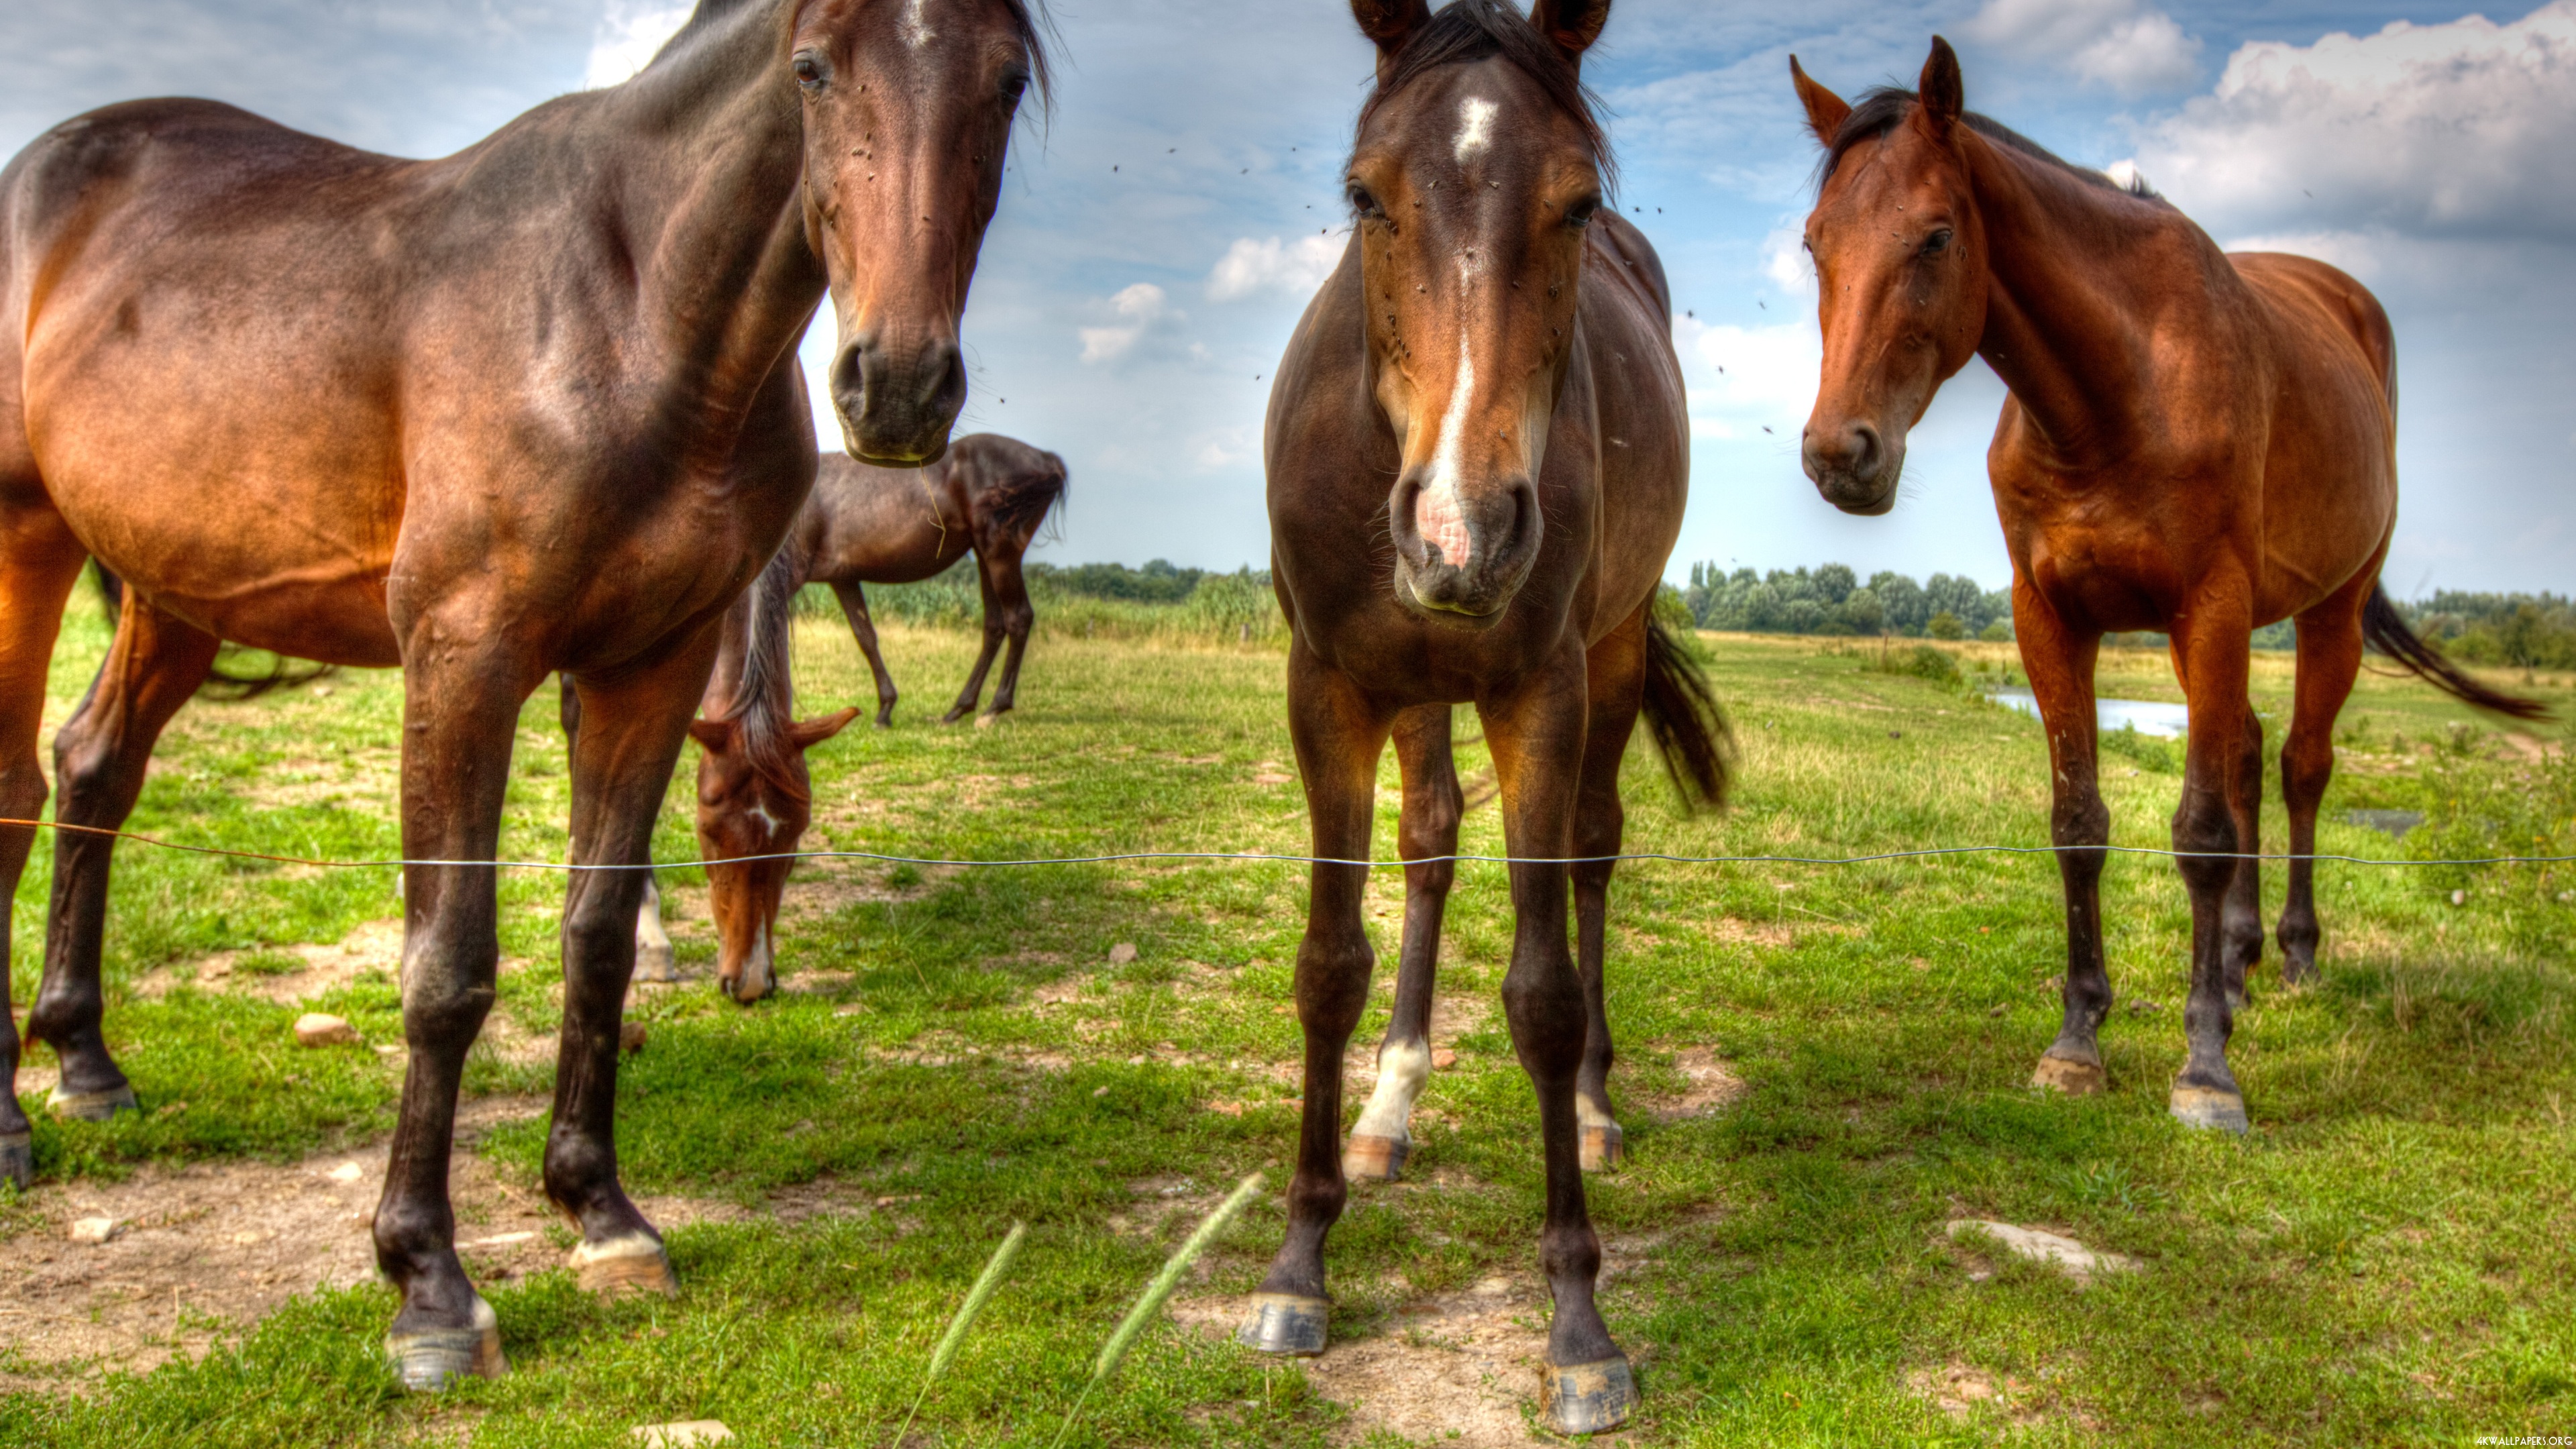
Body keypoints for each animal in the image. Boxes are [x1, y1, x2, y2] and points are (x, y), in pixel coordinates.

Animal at [799, 433, 1067, 725]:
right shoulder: (844, 580)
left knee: (1018, 618)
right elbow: (866, 637)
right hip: (986, 558)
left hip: (1000, 557)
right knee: (995, 626)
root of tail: (1046, 459)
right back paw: (959, 708)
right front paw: (885, 709)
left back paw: (995, 707)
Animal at [1246, 1, 1727, 1434]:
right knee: (1432, 839)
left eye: (1577, 205)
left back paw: (1598, 1110)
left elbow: (1544, 993)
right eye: (1366, 195)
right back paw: (1389, 1112)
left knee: (1593, 850)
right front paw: (1300, 1258)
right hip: (1413, 687)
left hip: (1609, 659)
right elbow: (1328, 964)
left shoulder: (1541, 691)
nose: (1463, 531)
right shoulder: (1328, 686)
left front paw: (1578, 1322)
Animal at [1788, 39, 2542, 1135]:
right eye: (1815, 244)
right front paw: (2077, 1040)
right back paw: (2234, 965)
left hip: (2329, 614)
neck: (2114, 394)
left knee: (2300, 766)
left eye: (1935, 235)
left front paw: (2206, 1070)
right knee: (2248, 752)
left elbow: (2201, 833)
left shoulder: (2210, 607)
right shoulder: (2050, 620)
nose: (1840, 454)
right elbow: (2080, 825)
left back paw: (2292, 958)